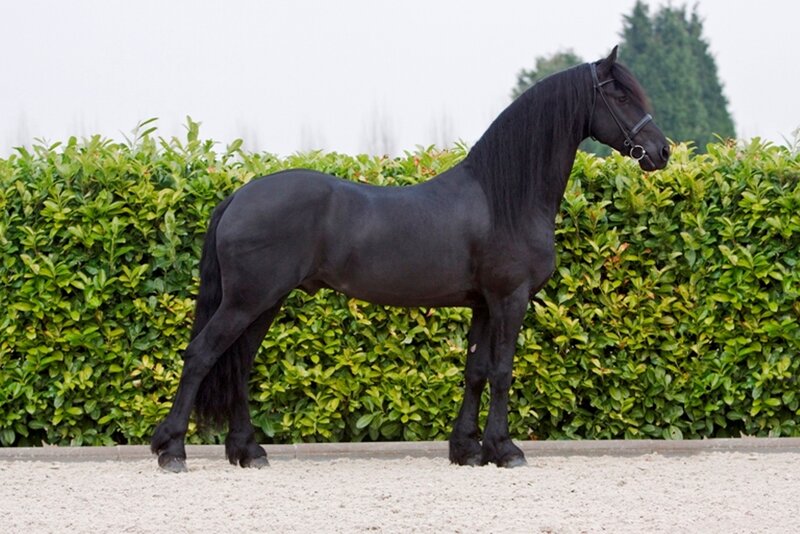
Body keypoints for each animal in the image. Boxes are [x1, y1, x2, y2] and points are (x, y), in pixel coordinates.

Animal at [151, 46, 669, 472]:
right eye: (620, 95)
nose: (661, 151)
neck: (504, 197)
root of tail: (239, 195)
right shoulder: (510, 298)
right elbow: (502, 372)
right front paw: (504, 450)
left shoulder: (483, 304)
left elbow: (476, 372)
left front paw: (467, 450)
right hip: (248, 300)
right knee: (202, 355)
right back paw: (172, 450)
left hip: (264, 302)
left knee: (238, 365)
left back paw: (248, 451)